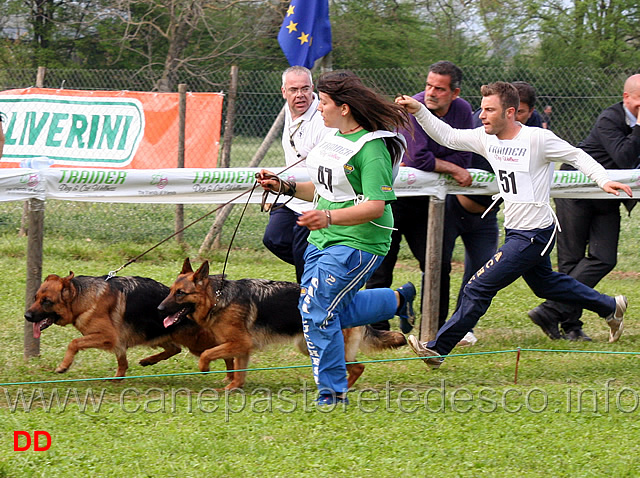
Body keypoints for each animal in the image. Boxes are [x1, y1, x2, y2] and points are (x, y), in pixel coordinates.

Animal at [158, 260, 404, 390]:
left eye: (180, 294)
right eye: (171, 290)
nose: (159, 309)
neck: (217, 298)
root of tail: (348, 302)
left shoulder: (238, 343)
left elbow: (206, 354)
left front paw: (205, 368)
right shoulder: (242, 349)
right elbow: (238, 371)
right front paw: (234, 387)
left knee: (356, 368)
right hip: (308, 346)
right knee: (354, 367)